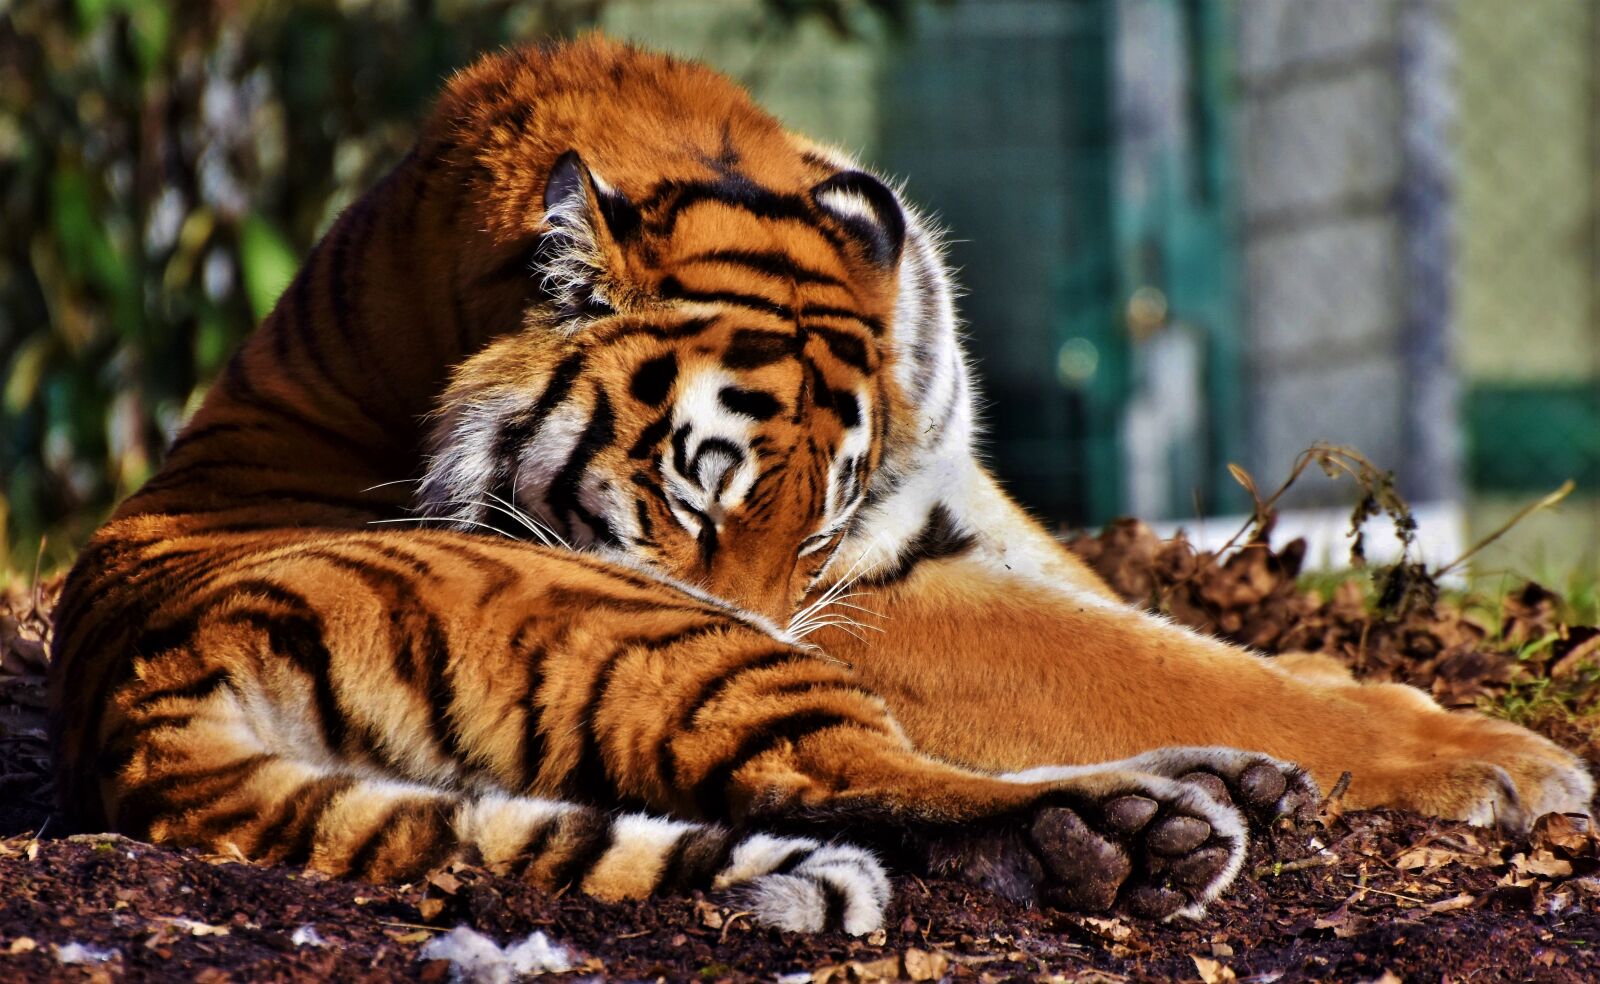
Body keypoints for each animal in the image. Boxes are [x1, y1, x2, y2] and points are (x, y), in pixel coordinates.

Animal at [49, 36, 1590, 936]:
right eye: (696, 500)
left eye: (824, 514)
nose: (773, 610)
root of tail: (143, 707)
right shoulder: (879, 594)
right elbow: (1142, 659)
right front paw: (1506, 762)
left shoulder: (932, 501)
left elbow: (1160, 628)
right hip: (645, 641)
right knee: (832, 774)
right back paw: (1141, 829)